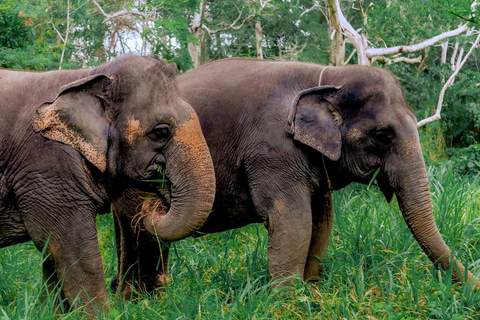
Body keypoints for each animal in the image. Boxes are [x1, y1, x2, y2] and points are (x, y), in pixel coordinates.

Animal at [0, 55, 215, 312]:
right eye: (161, 132)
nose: (155, 203)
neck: (87, 75)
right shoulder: (46, 166)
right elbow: (70, 247)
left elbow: (50, 253)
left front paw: (50, 313)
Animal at [111, 57, 476, 296]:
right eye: (382, 136)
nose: (472, 289)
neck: (327, 76)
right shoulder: (272, 150)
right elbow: (293, 220)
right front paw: (288, 302)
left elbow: (322, 220)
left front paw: (312, 292)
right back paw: (141, 299)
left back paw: (142, 296)